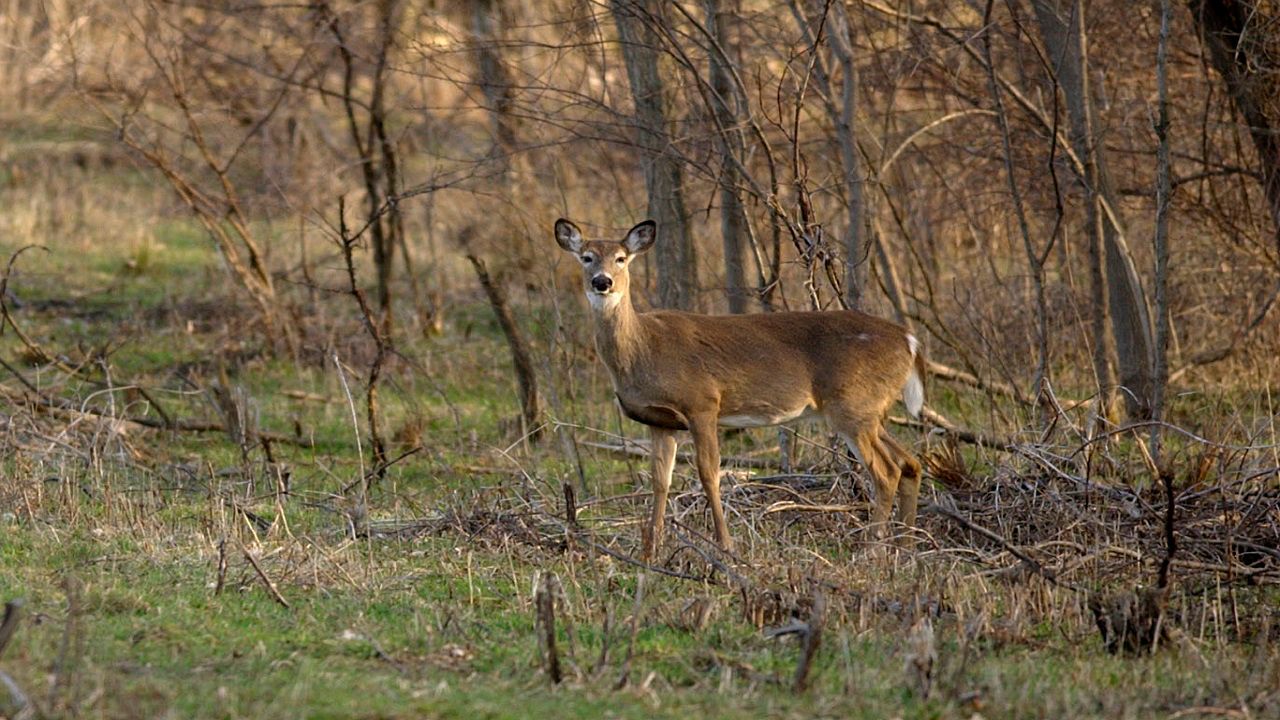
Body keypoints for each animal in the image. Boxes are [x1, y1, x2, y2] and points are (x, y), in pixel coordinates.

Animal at [555, 215, 926, 558]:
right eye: (586, 257)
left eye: (621, 258)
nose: (602, 282)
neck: (644, 348)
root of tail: (909, 341)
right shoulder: (660, 420)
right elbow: (660, 481)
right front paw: (651, 551)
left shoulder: (703, 402)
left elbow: (709, 472)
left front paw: (726, 546)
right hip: (870, 409)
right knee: (910, 463)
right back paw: (906, 546)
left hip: (851, 405)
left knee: (887, 472)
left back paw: (872, 549)